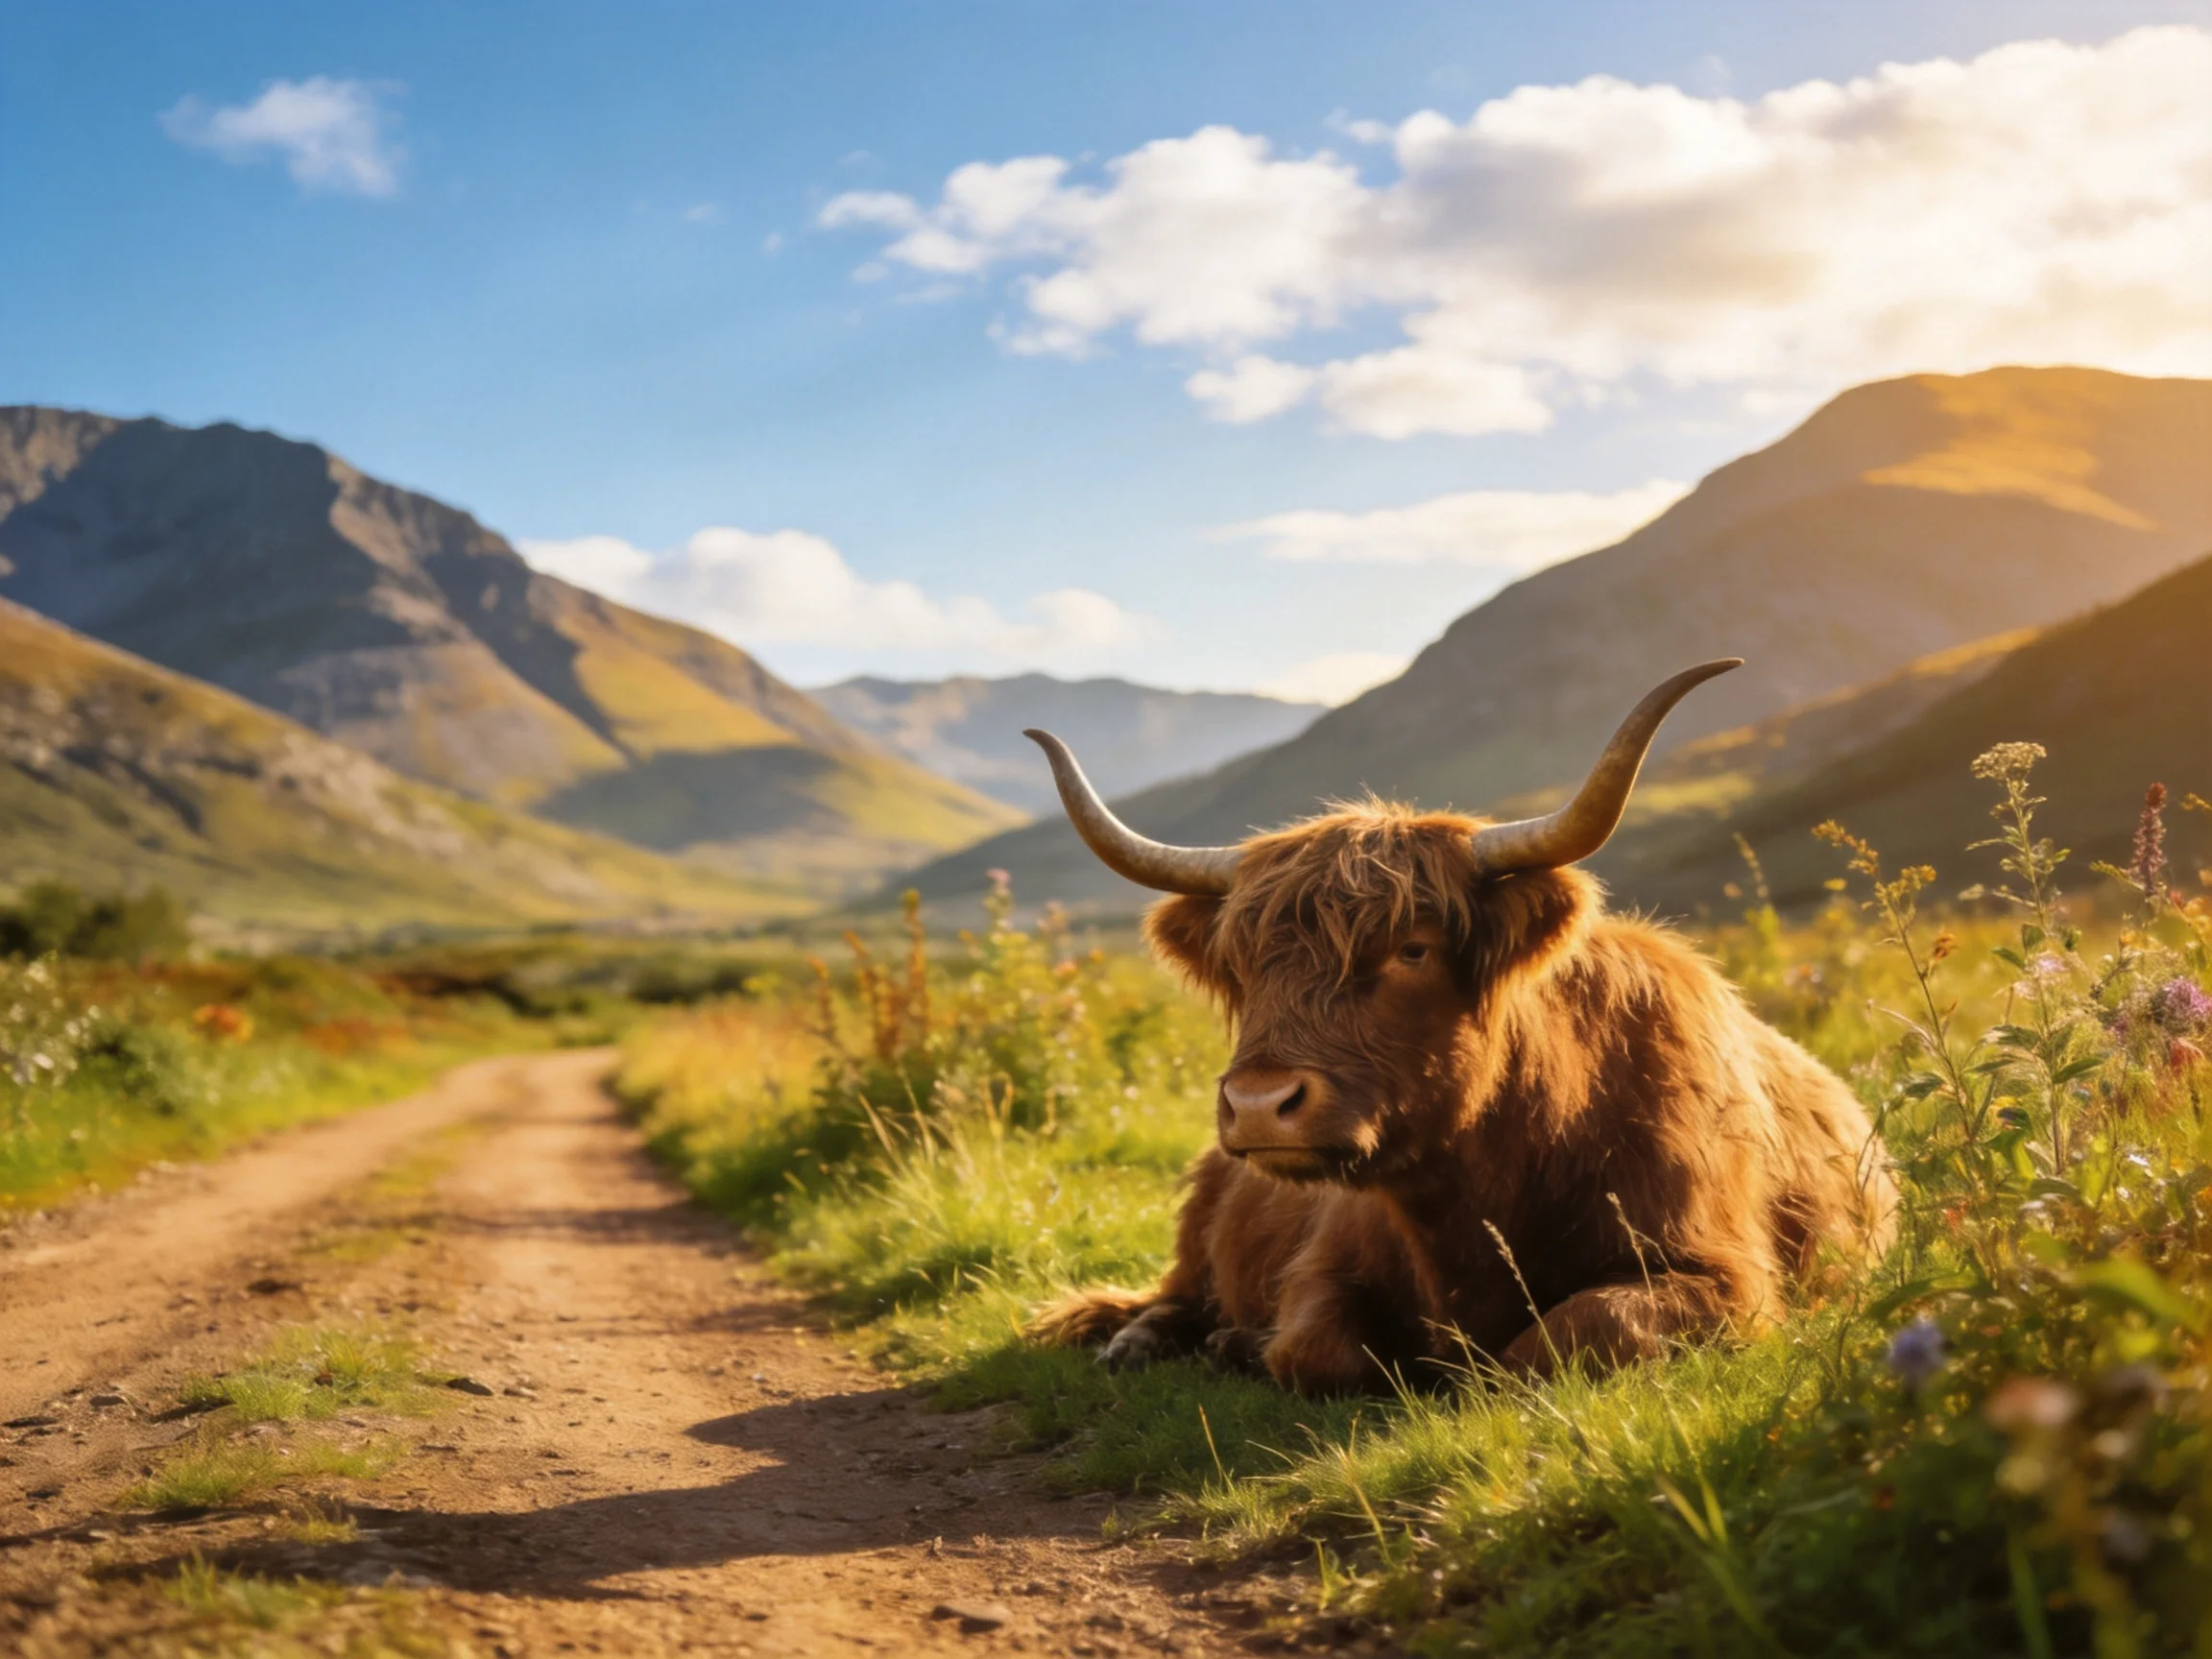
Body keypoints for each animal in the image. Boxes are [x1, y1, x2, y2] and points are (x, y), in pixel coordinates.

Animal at [1025, 661, 1896, 1392]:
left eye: (1412, 948)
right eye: (1241, 965)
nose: (1259, 1105)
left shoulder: (1726, 1278)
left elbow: (1561, 1339)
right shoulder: (1324, 1266)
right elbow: (1320, 1349)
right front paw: (1249, 1345)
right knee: (1168, 1296)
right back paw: (1143, 1342)